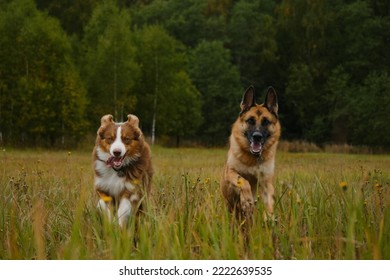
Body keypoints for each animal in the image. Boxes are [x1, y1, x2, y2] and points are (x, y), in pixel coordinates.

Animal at [219, 86, 280, 225]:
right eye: (250, 121)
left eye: (266, 122)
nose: (257, 136)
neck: (253, 159)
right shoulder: (231, 172)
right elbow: (243, 181)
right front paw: (247, 200)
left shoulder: (266, 182)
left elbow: (269, 201)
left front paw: (269, 216)